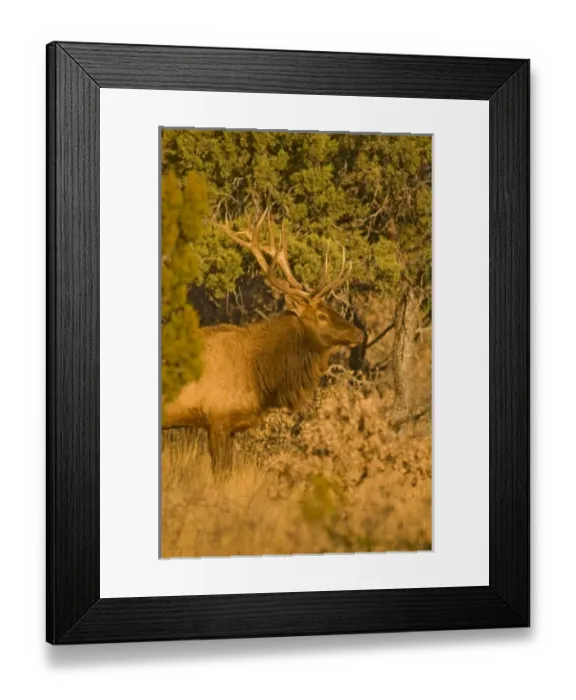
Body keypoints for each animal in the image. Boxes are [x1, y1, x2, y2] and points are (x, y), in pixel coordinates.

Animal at [161, 211, 365, 473]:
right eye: (321, 315)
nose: (358, 334)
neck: (260, 373)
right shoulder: (217, 419)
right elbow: (221, 472)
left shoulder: (231, 426)